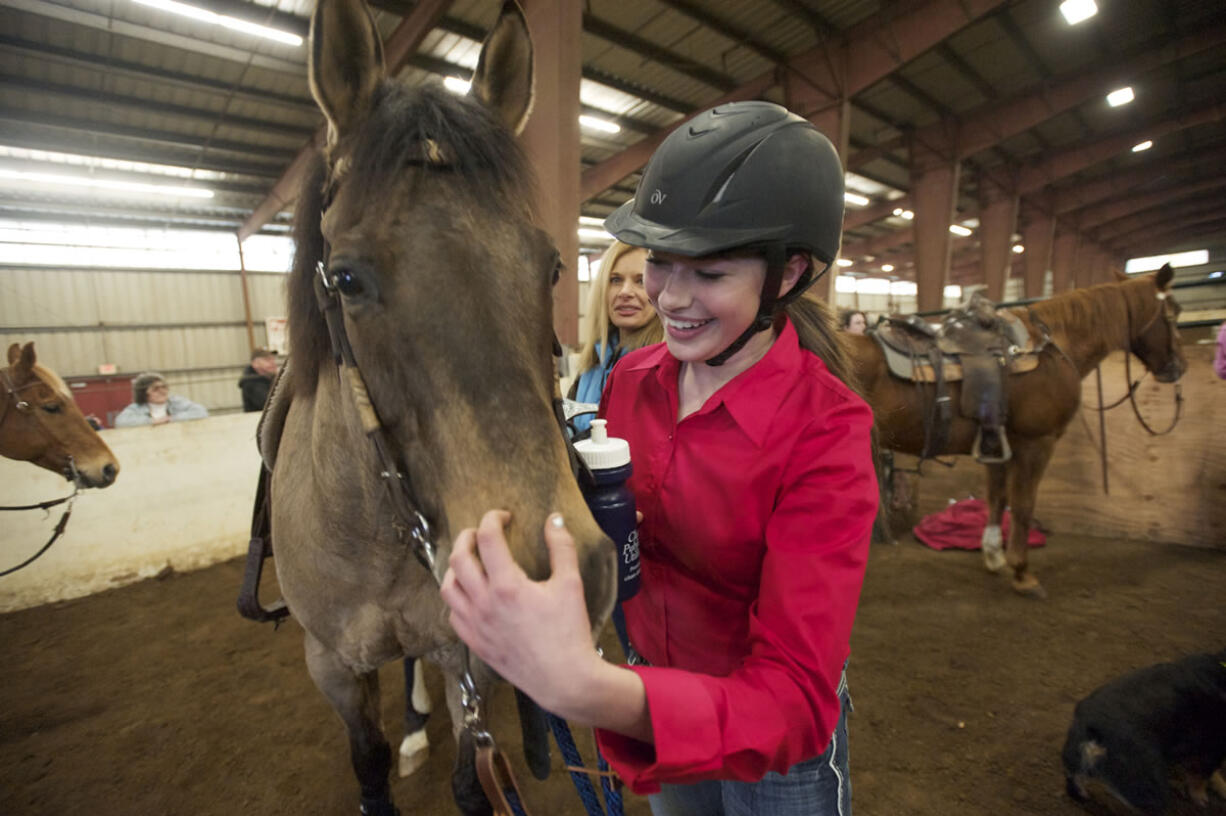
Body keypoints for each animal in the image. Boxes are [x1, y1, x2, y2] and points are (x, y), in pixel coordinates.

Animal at [267, 1, 613, 813]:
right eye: (346, 278)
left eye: (553, 266)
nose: (555, 580)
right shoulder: (329, 664)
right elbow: (366, 758)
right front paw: (398, 748)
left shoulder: (470, 655)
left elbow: (471, 779)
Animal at [848, 268, 1181, 597]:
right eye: (1173, 314)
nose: (1179, 367)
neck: (1053, 349)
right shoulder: (1037, 444)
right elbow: (1023, 505)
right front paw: (1022, 573)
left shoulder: (996, 441)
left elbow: (997, 497)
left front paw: (994, 556)